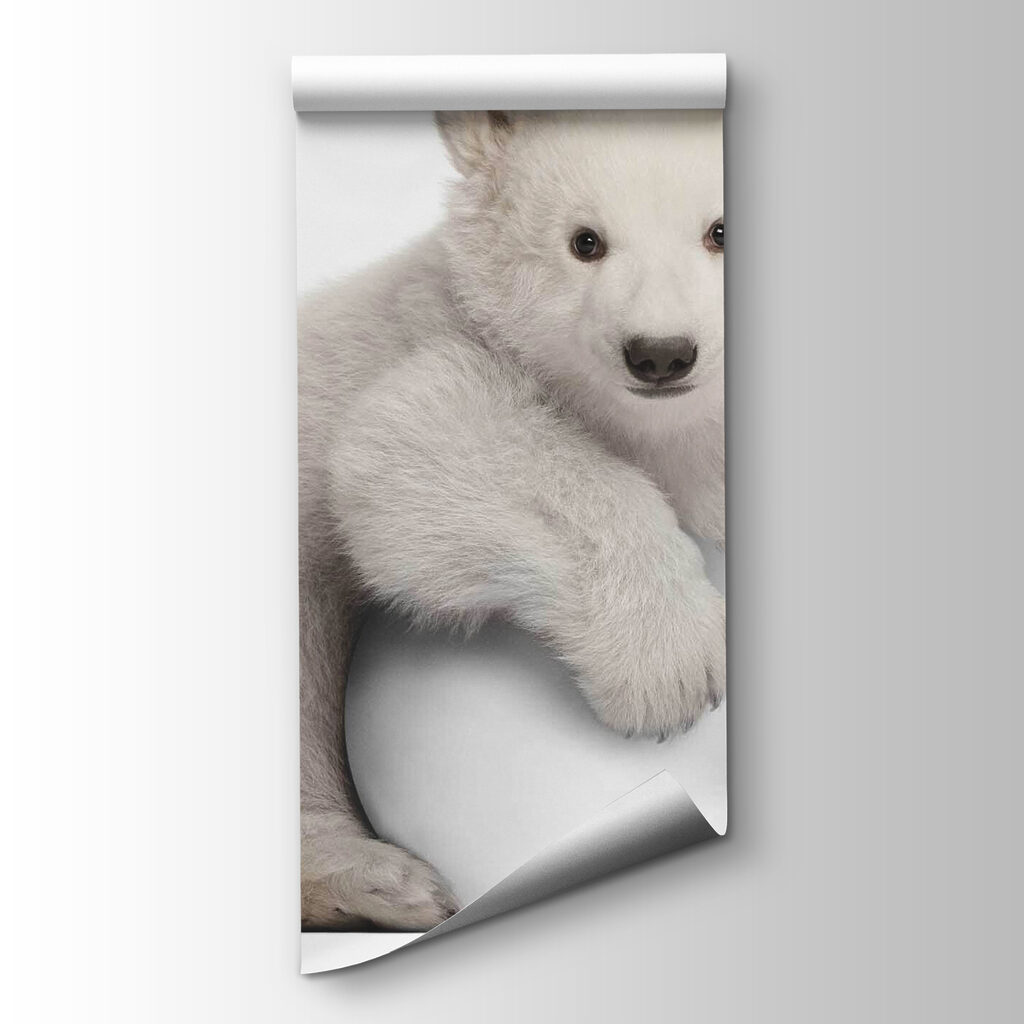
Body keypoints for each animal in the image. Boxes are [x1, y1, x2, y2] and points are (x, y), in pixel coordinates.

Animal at [299, 109, 726, 931]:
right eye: (585, 240)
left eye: (719, 230)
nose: (660, 354)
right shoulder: (420, 340)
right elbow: (416, 438)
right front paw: (672, 667)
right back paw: (387, 884)